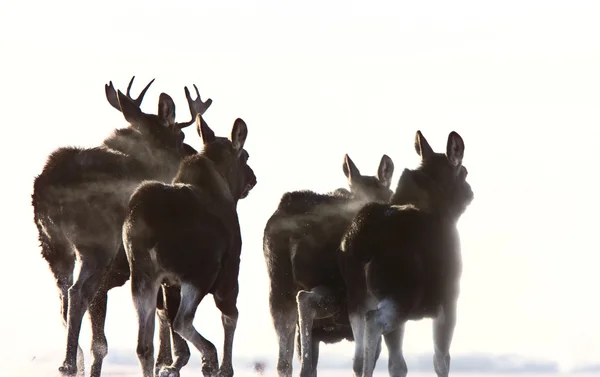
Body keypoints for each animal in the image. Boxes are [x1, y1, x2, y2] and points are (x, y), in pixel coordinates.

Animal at [32, 77, 212, 376]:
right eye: (181, 137)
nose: (193, 155)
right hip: (96, 246)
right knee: (77, 294)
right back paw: (69, 363)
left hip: (53, 247)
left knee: (63, 300)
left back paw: (72, 362)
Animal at [123, 112, 254, 376]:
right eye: (245, 156)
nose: (254, 178)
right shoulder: (229, 270)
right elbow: (230, 316)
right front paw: (224, 367)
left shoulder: (169, 283)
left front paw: (174, 364)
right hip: (199, 273)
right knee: (183, 320)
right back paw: (210, 356)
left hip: (142, 276)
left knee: (144, 344)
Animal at [338, 131, 474, 376]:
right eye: (465, 171)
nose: (470, 191)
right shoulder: (449, 299)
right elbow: (441, 359)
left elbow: (397, 364)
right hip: (401, 294)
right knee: (374, 322)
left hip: (356, 297)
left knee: (358, 354)